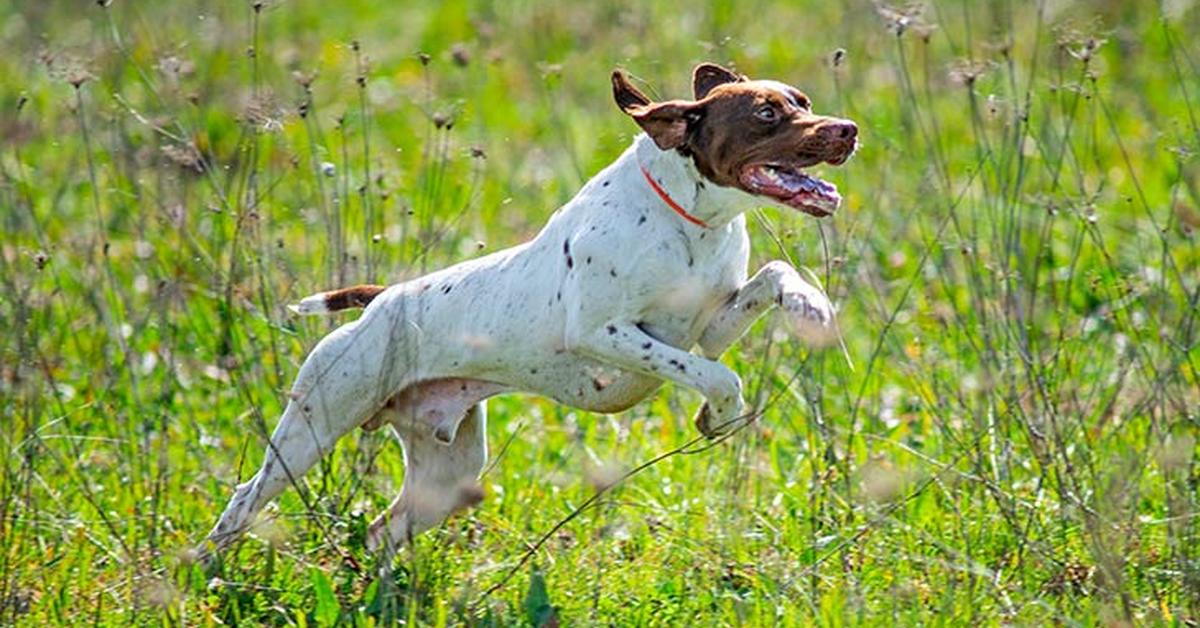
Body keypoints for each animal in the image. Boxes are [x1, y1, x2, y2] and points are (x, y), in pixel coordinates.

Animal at [206, 62, 859, 554]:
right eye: (766, 114)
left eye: (803, 101)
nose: (848, 129)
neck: (690, 221)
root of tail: (381, 301)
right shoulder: (604, 334)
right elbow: (717, 376)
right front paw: (718, 416)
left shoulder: (711, 325)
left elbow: (772, 280)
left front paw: (812, 308)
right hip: (313, 427)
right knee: (244, 500)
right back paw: (206, 573)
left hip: (449, 473)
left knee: (380, 534)